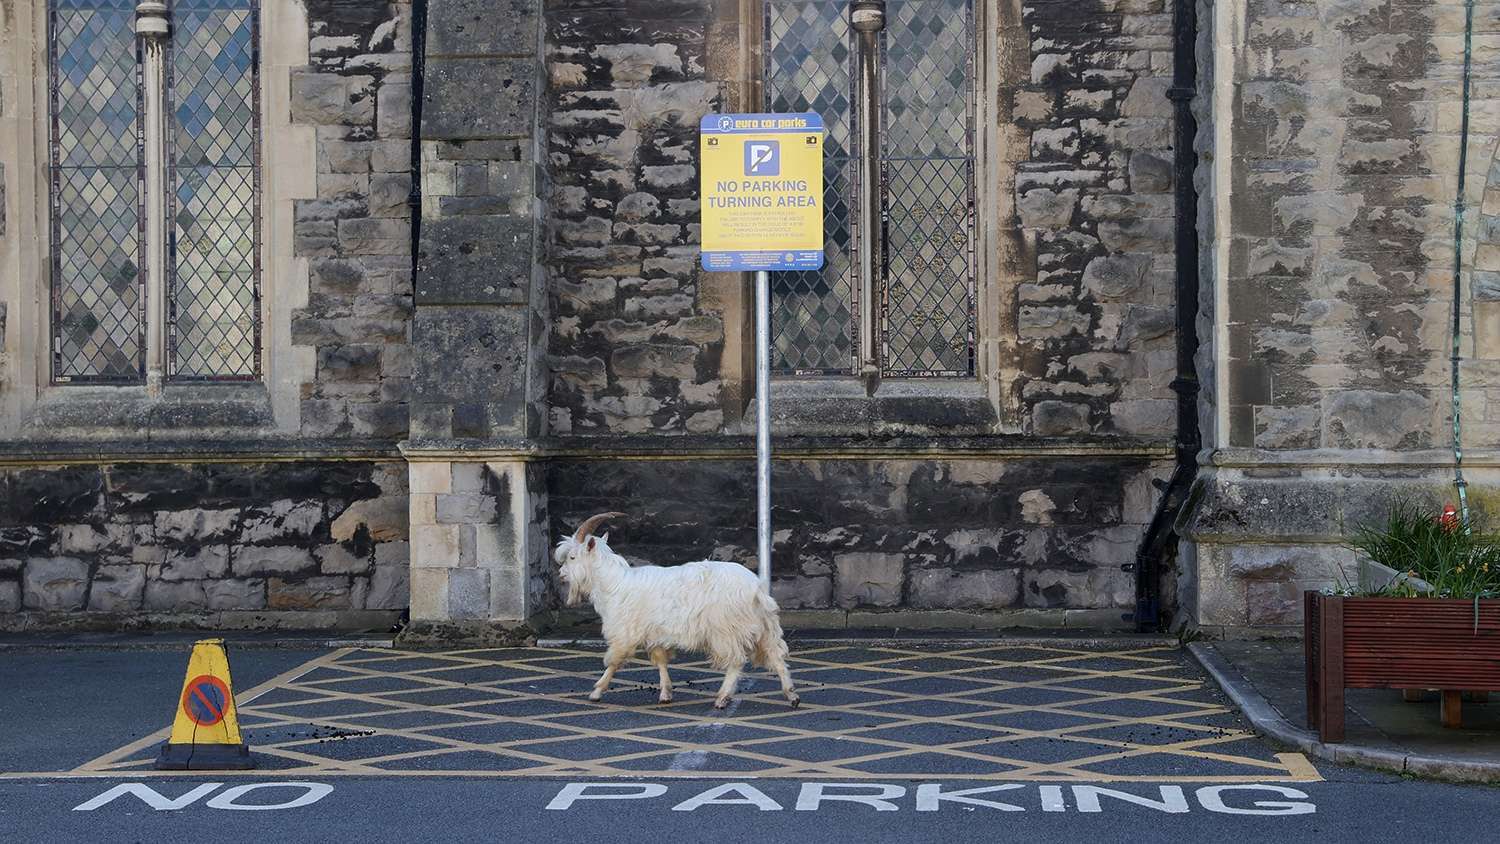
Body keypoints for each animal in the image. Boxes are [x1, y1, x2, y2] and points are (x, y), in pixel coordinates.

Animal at [558, 512, 804, 710]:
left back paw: (722, 698)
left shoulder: (625, 633)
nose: (561, 574)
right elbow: (661, 661)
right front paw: (666, 693)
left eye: (572, 557)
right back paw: (792, 696)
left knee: (736, 661)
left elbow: (614, 662)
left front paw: (596, 692)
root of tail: (756, 589)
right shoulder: (655, 633)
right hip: (765, 627)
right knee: (776, 656)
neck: (614, 583)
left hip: (726, 629)